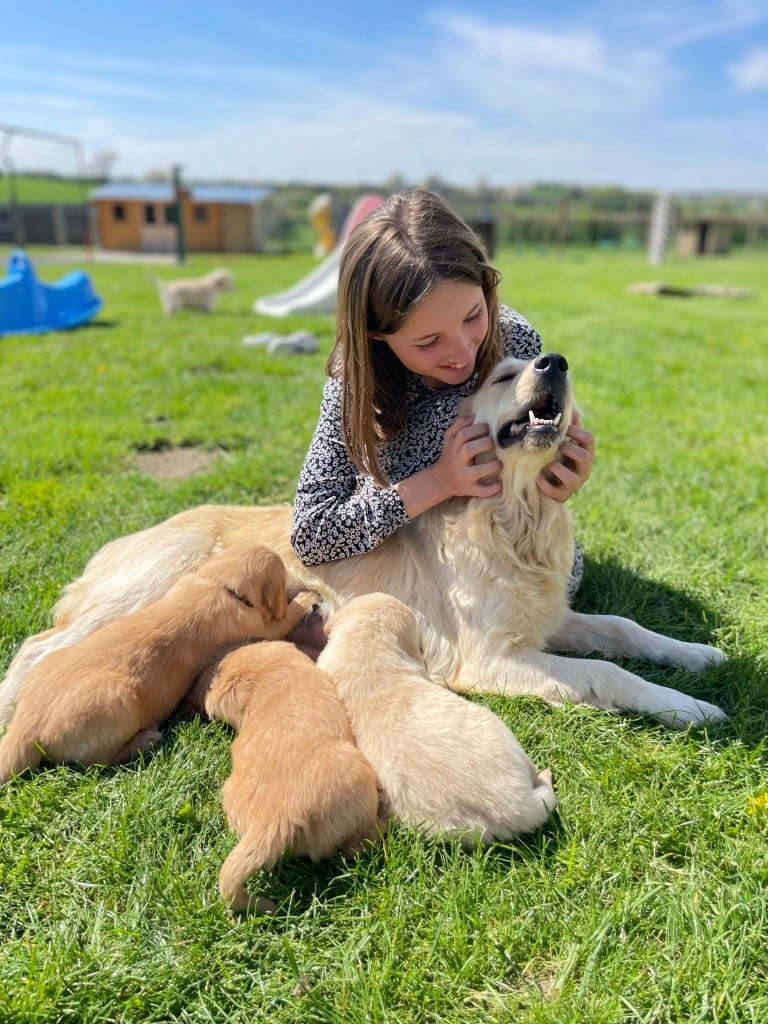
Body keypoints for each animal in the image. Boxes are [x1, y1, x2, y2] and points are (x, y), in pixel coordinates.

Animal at [0, 544, 315, 782]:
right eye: (283, 579)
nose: (301, 581)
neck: (217, 583)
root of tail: (25, 727)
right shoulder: (255, 625)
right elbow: (284, 619)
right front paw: (305, 599)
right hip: (116, 703)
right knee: (97, 763)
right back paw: (144, 741)